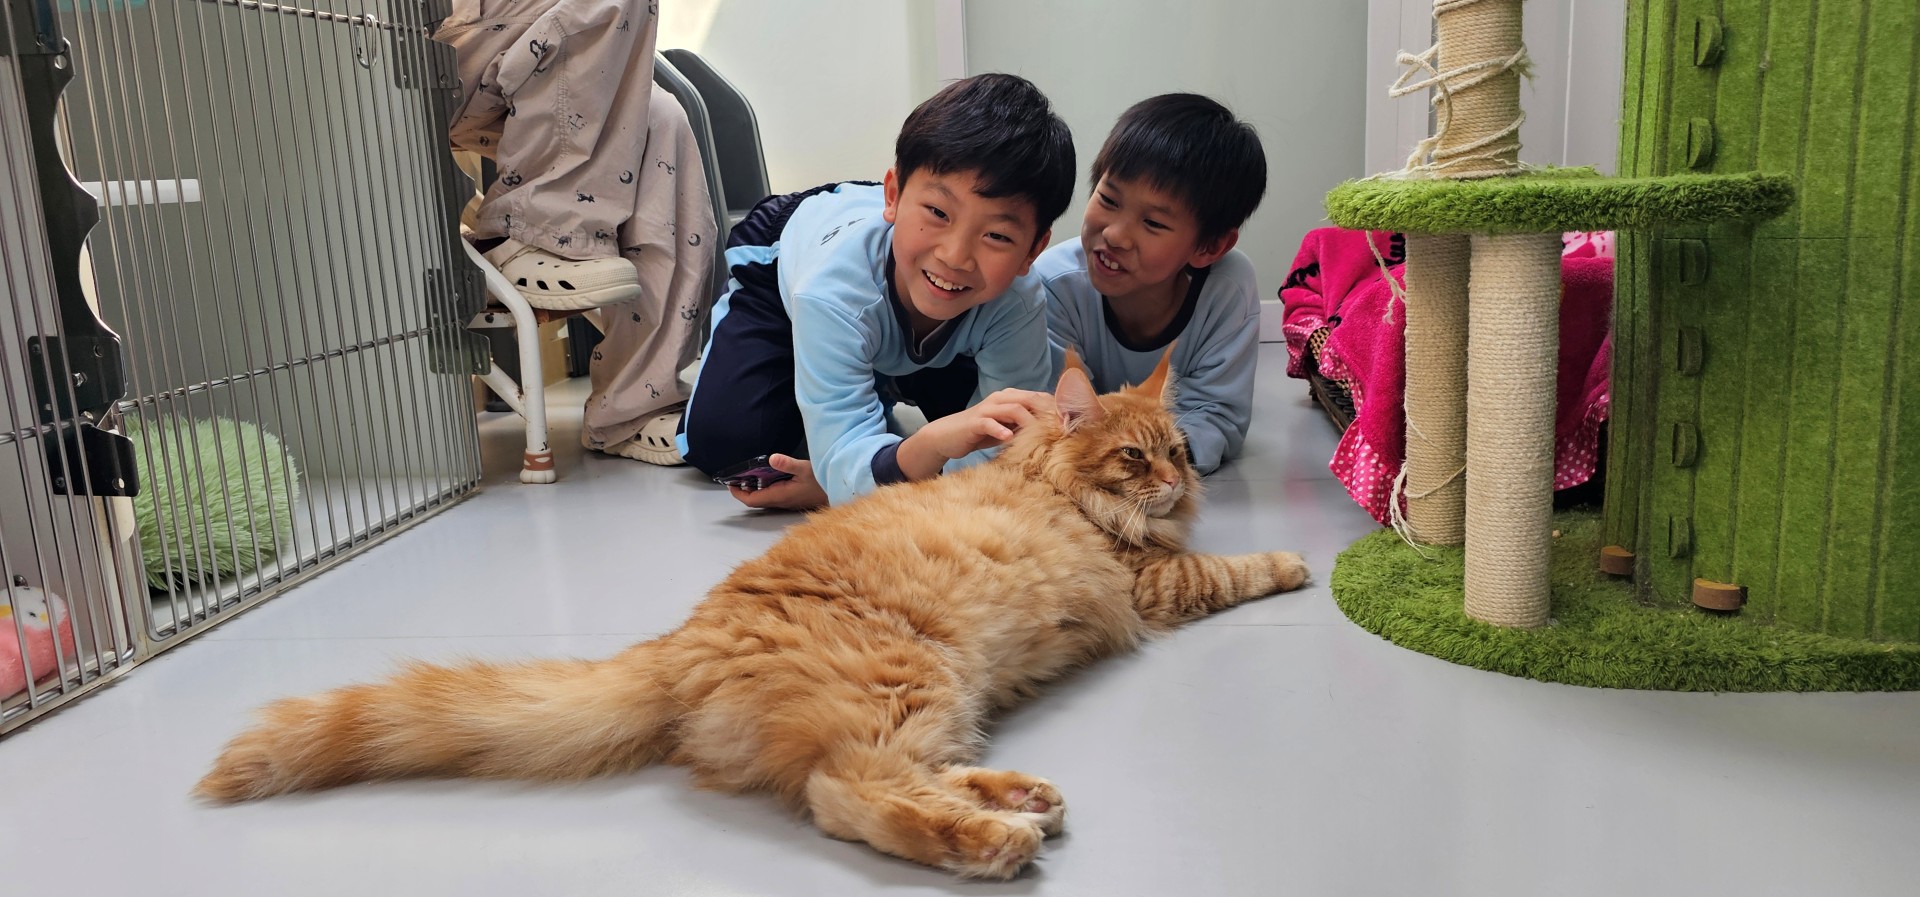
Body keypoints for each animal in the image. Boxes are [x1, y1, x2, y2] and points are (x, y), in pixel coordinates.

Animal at [195, 350, 1309, 879]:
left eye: (1179, 449)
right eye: (1133, 457)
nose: (1180, 477)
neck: (1054, 485)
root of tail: (678, 643)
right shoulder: (1149, 582)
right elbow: (1232, 569)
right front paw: (1296, 561)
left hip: (936, 697)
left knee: (880, 777)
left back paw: (1021, 797)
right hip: (905, 681)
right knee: (852, 795)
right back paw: (995, 840)